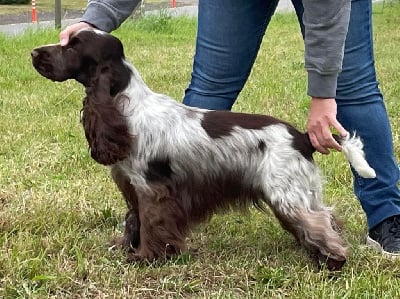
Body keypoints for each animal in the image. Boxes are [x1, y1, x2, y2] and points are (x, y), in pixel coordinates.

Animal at [31, 28, 376, 272]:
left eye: (72, 46)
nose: (33, 51)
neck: (127, 108)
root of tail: (302, 137)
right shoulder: (132, 187)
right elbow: (134, 221)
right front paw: (127, 247)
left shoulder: (152, 188)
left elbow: (152, 223)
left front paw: (146, 257)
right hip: (297, 190)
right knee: (326, 216)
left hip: (286, 193)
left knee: (320, 224)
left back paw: (333, 260)